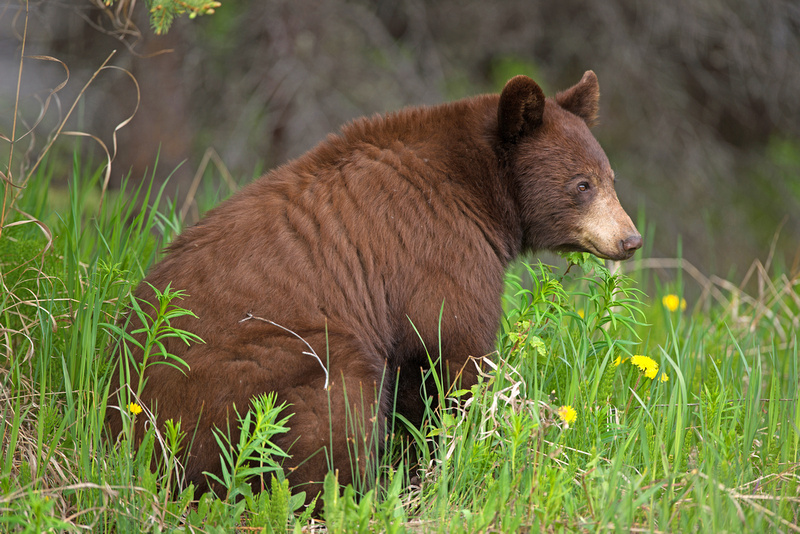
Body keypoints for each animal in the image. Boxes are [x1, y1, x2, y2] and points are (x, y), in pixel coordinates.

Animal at [108, 71, 644, 502]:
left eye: (611, 178)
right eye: (582, 184)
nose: (630, 239)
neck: (476, 190)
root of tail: (128, 433)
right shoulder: (439, 252)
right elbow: (456, 350)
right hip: (264, 375)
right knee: (336, 407)